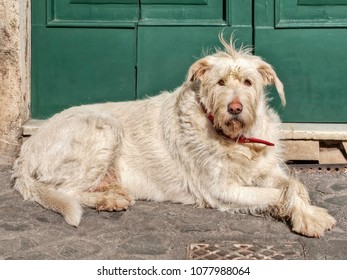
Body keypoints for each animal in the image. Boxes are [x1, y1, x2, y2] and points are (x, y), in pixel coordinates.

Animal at [11, 34, 338, 236]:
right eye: (220, 83)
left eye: (248, 82)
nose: (234, 108)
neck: (238, 140)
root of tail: (24, 152)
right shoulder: (220, 190)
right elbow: (278, 193)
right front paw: (309, 218)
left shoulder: (264, 170)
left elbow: (294, 185)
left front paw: (308, 211)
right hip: (103, 127)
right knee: (65, 190)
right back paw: (108, 200)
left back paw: (111, 195)